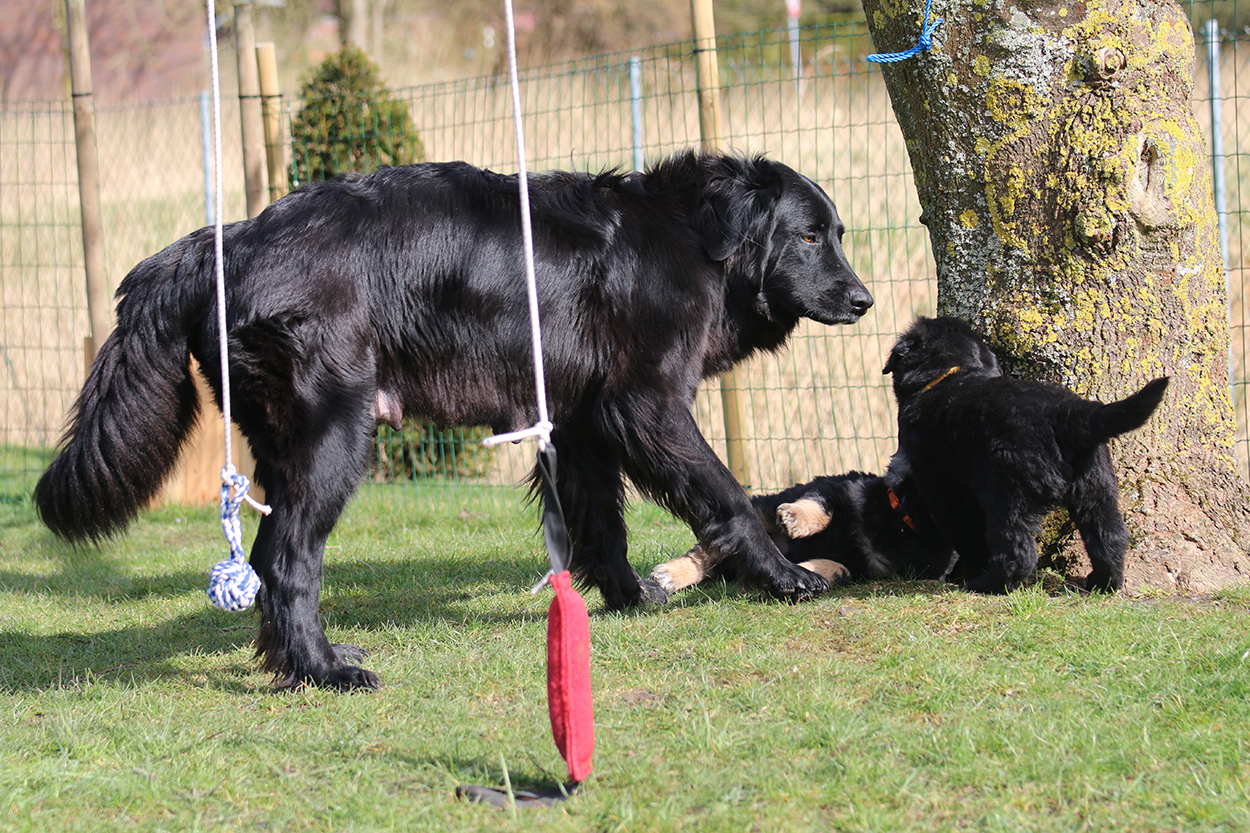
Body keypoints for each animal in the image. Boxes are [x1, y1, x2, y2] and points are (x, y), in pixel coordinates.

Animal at [34, 150, 873, 690]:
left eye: (837, 233)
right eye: (808, 235)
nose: (865, 300)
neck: (694, 235)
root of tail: (224, 239)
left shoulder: (577, 420)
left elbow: (601, 521)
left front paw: (629, 597)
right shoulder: (648, 403)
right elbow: (724, 494)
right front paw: (785, 576)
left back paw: (292, 662)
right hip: (333, 437)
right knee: (286, 560)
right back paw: (323, 671)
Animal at [651, 469, 958, 592]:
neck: (900, 521)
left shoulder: (867, 567)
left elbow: (836, 568)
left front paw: (806, 571)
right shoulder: (839, 488)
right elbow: (822, 507)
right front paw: (795, 518)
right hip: (759, 513)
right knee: (708, 551)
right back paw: (671, 574)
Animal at [882, 315, 1168, 594]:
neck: (950, 374)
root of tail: (1067, 414)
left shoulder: (942, 490)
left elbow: (967, 536)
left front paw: (969, 571)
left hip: (1008, 493)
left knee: (1018, 550)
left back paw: (989, 585)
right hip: (1097, 488)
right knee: (1110, 537)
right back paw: (1103, 583)